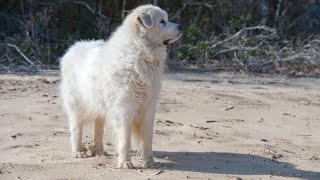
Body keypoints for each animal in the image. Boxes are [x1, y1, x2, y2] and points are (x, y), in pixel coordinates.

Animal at [58, 4, 181, 169]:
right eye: (162, 21)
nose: (181, 26)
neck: (140, 53)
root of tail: (74, 47)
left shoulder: (149, 107)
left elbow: (148, 138)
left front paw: (149, 162)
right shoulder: (124, 108)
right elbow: (125, 139)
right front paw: (125, 163)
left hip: (100, 105)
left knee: (99, 128)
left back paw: (100, 151)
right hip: (77, 104)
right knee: (76, 127)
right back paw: (78, 151)